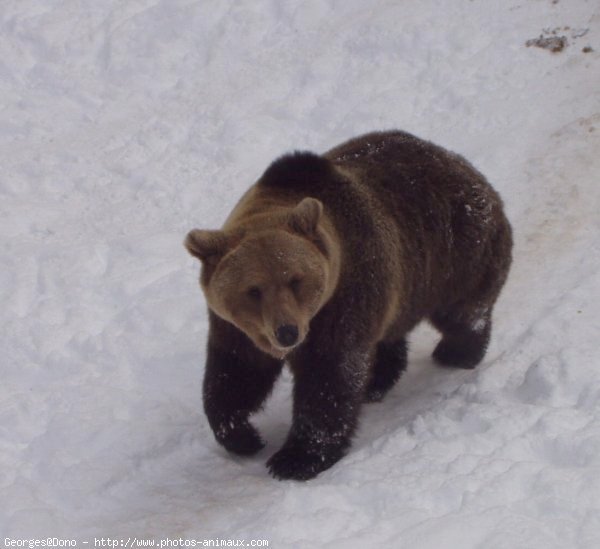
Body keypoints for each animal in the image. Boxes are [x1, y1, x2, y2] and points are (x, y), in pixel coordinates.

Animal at [185, 128, 512, 480]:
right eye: (254, 290)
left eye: (295, 280)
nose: (287, 333)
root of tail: (467, 169)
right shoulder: (238, 327)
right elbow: (235, 373)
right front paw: (243, 435)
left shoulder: (343, 299)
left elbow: (330, 375)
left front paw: (295, 458)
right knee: (389, 336)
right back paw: (377, 381)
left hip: (456, 255)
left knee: (463, 313)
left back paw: (457, 353)